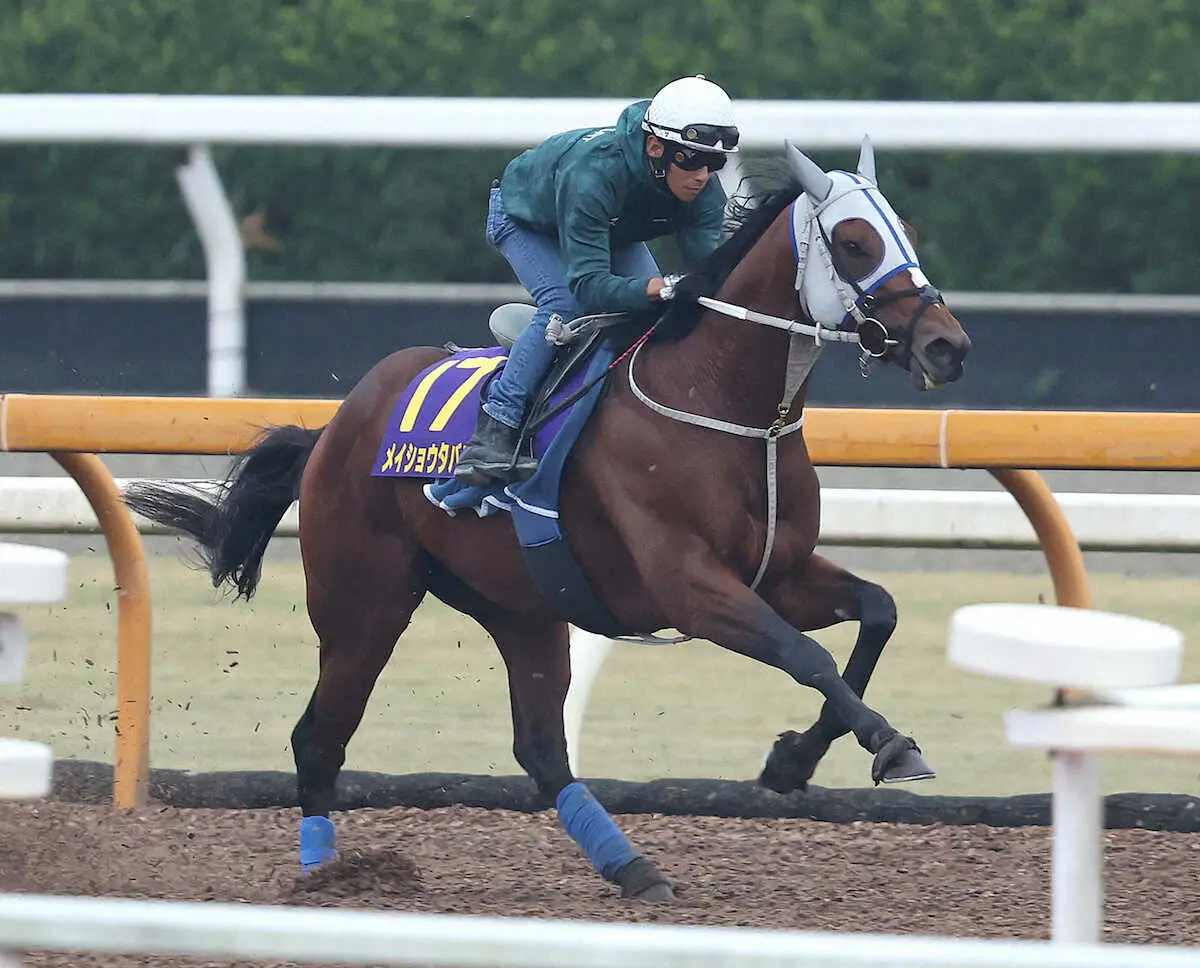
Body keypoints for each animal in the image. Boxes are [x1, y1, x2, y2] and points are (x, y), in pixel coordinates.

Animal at [126, 140, 974, 906]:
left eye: (907, 233)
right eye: (855, 242)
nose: (947, 345)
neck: (721, 402)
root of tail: (334, 426)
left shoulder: (782, 571)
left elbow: (877, 613)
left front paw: (795, 761)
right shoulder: (692, 588)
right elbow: (806, 655)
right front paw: (888, 745)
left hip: (524, 607)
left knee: (540, 749)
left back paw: (632, 867)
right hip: (364, 602)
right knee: (319, 735)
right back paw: (325, 876)